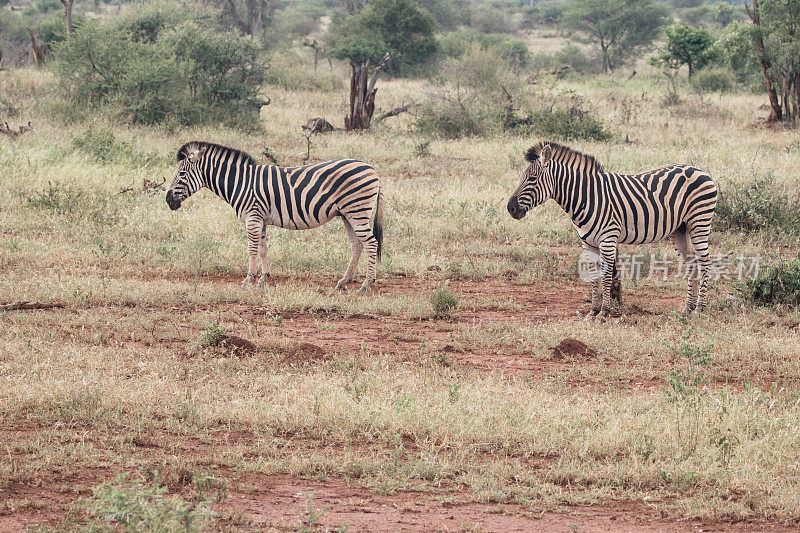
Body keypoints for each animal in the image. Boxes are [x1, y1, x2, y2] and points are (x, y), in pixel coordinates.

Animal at [165, 140, 382, 290]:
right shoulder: (260, 220)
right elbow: (263, 249)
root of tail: (372, 169)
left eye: (182, 174)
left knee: (371, 243)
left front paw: (248, 280)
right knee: (357, 245)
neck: (240, 182)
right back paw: (343, 281)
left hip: (357, 211)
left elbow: (251, 250)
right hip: (347, 214)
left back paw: (367, 284)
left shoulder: (252, 218)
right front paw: (263, 278)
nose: (168, 200)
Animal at [510, 140, 720, 320]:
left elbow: (606, 276)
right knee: (691, 262)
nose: (510, 208)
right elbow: (593, 277)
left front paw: (604, 313)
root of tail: (700, 170)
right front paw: (593, 312)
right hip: (680, 229)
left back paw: (700, 308)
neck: (587, 196)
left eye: (532, 179)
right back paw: (687, 308)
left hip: (699, 221)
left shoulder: (608, 239)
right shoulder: (587, 242)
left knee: (705, 262)